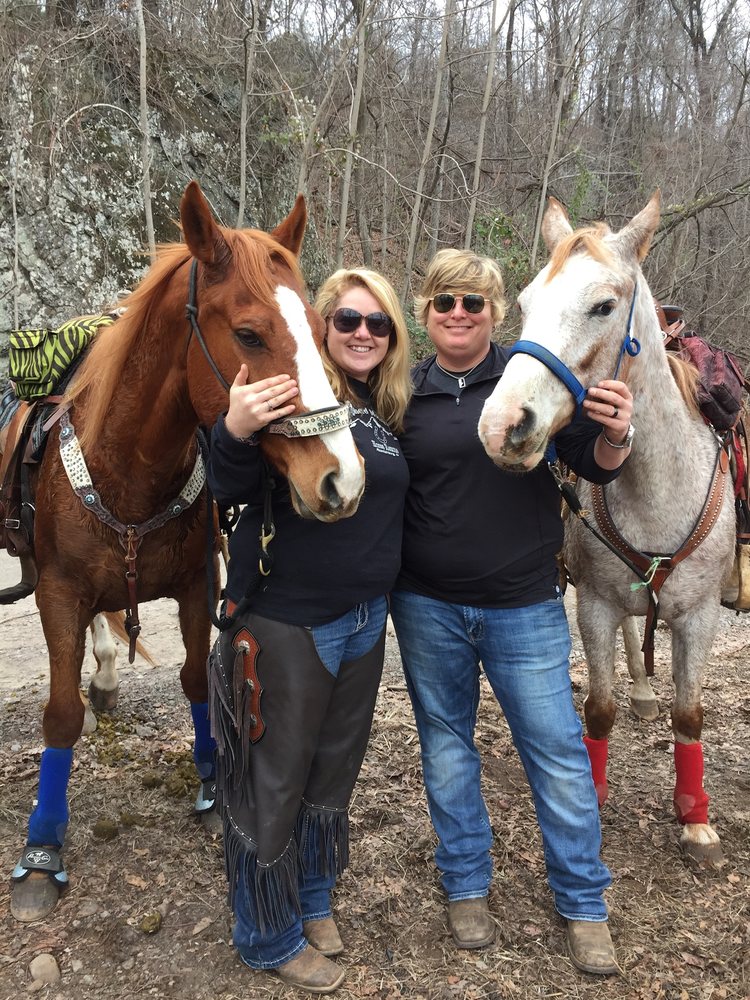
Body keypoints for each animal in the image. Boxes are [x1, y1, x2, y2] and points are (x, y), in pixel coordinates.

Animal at [7, 180, 365, 921]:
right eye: (250, 334)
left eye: (323, 335)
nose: (342, 480)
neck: (129, 468)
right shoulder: (57, 592)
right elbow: (61, 715)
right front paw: (42, 849)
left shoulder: (200, 586)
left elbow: (199, 680)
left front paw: (209, 789)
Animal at [477, 192, 735, 865]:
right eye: (525, 303)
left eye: (603, 306)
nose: (502, 425)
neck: (657, 490)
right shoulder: (593, 603)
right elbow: (597, 708)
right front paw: (592, 798)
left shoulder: (700, 618)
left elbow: (690, 715)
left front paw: (696, 822)